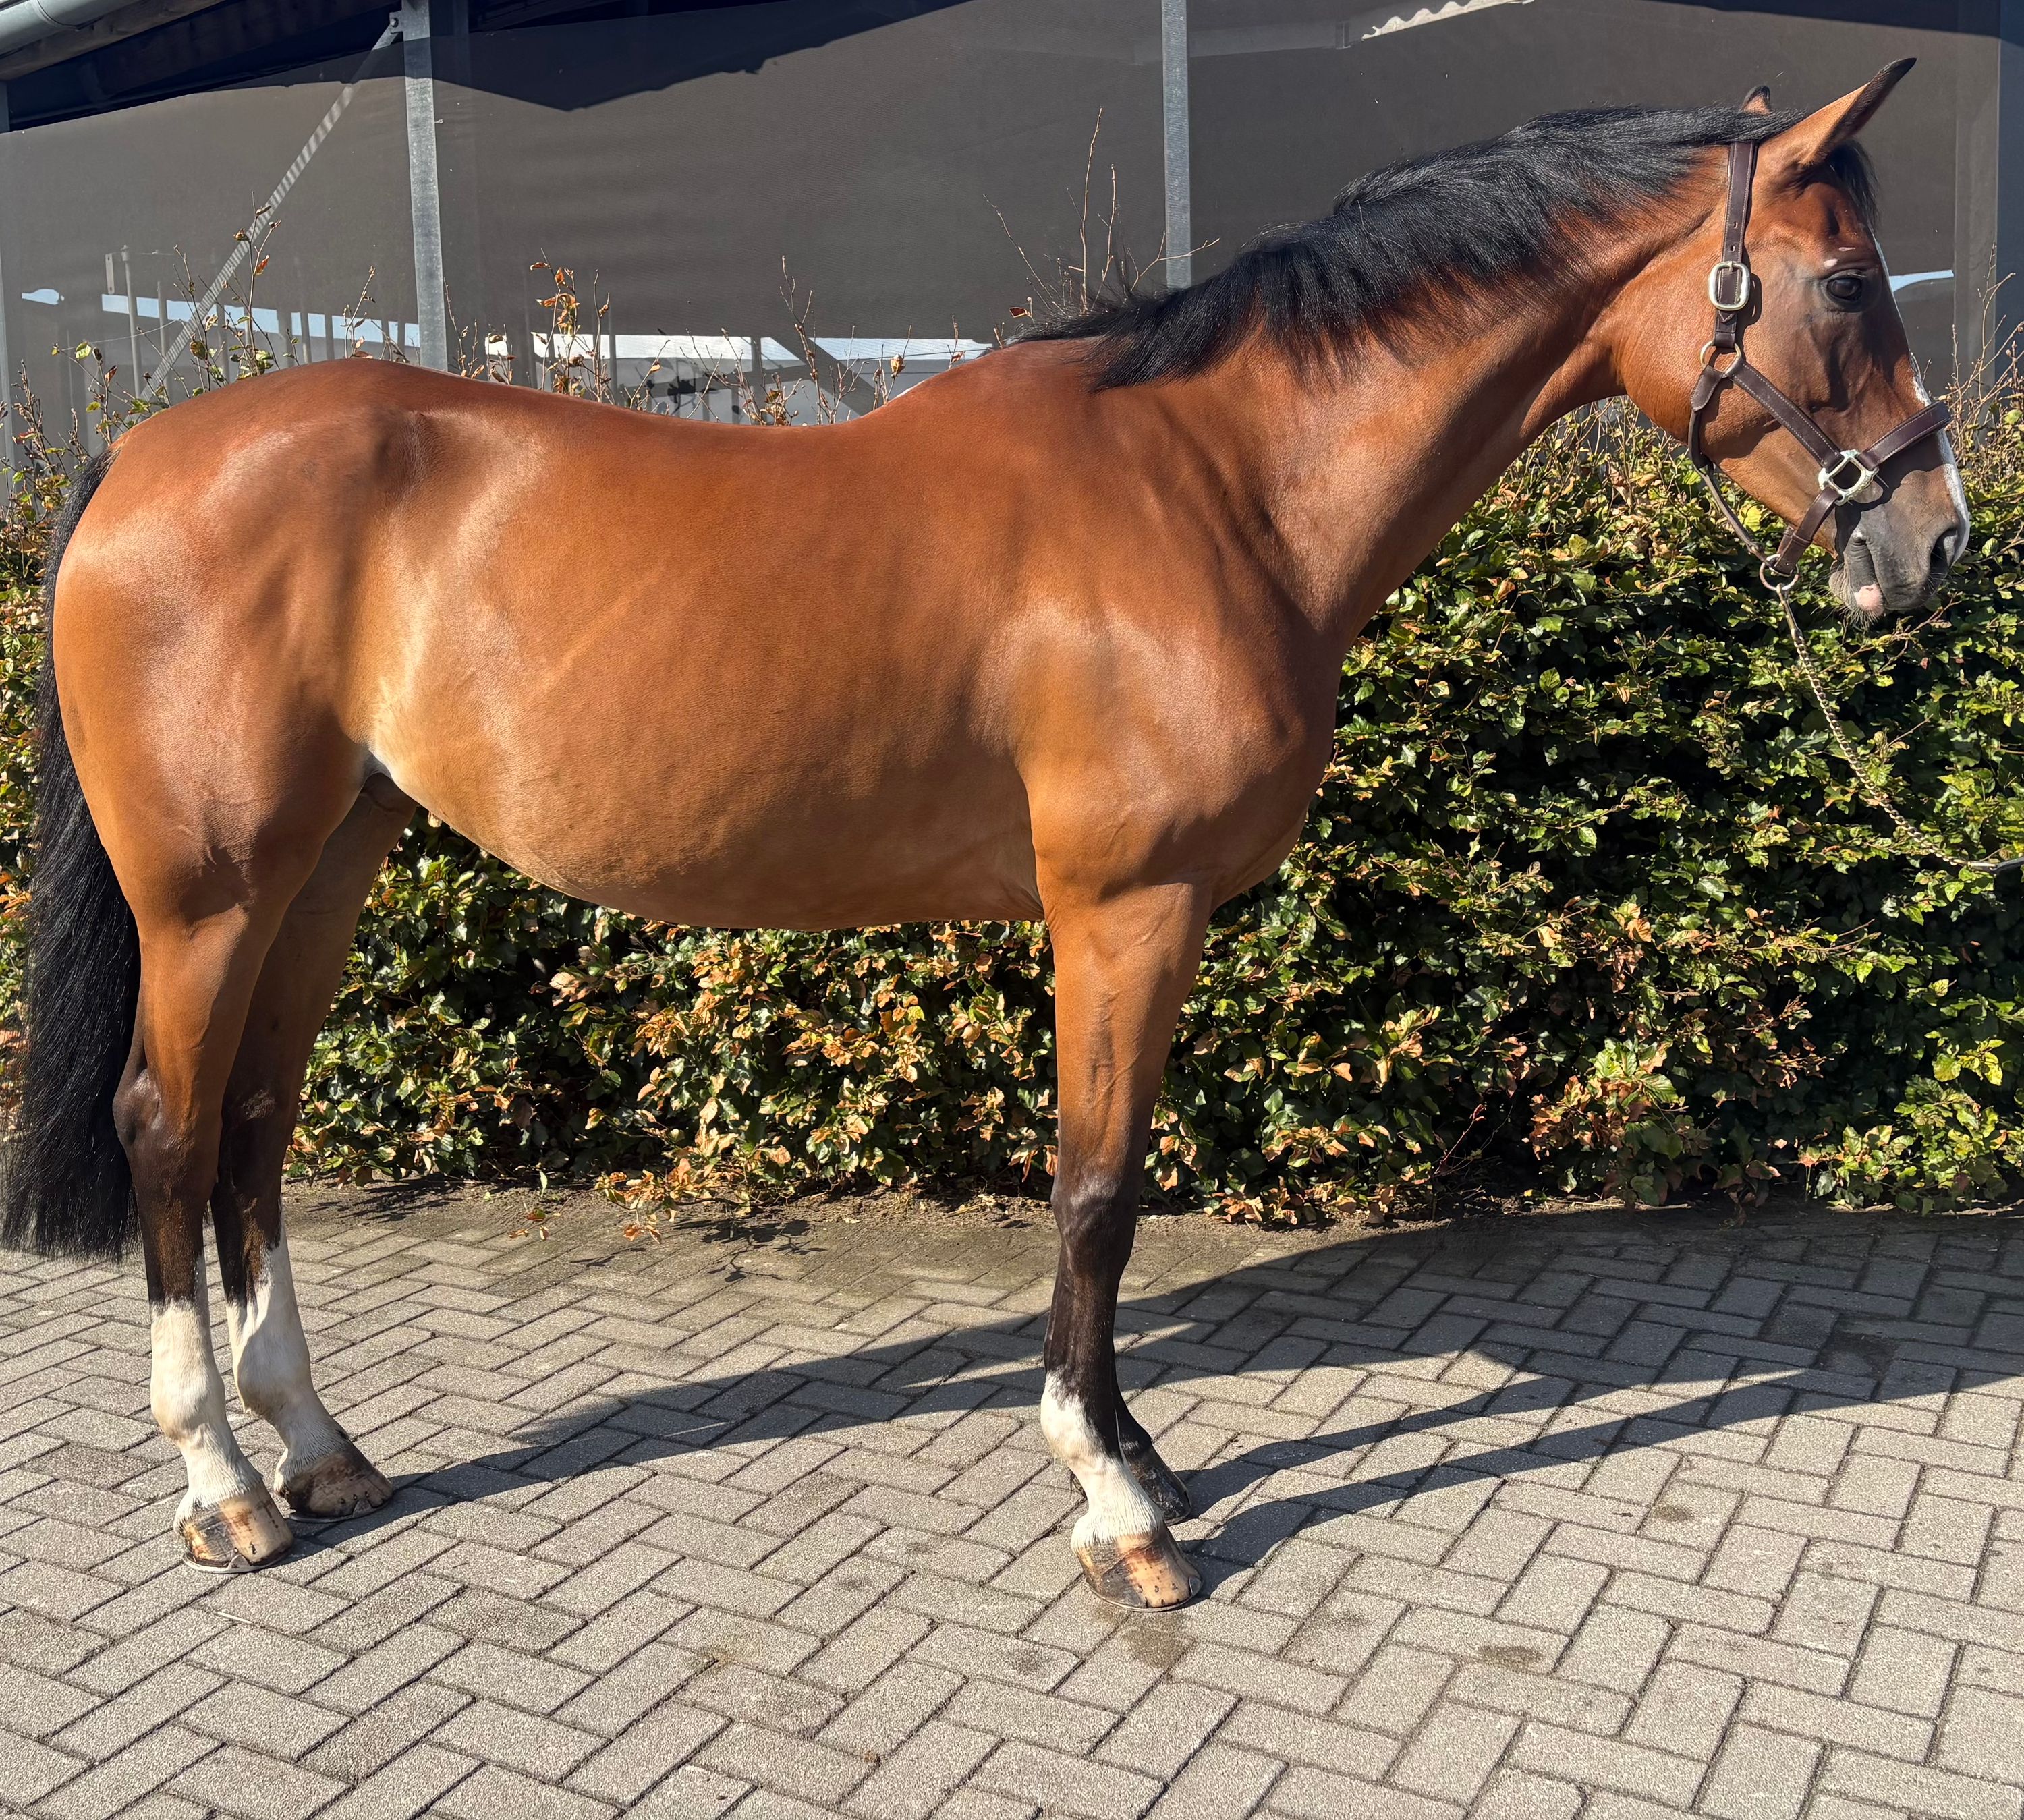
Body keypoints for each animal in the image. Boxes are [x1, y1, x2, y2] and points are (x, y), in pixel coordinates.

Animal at [2, 61, 1969, 1609]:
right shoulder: (1124, 905)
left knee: (258, 1130)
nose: (1933, 542)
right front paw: (1118, 1504)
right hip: (212, 891)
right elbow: (1096, 1192)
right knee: (169, 1127)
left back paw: (318, 1445)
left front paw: (1147, 1458)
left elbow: (1118, 1185)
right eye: (1846, 282)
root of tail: (141, 457)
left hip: (331, 863)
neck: (1211, 486)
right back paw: (225, 1487)